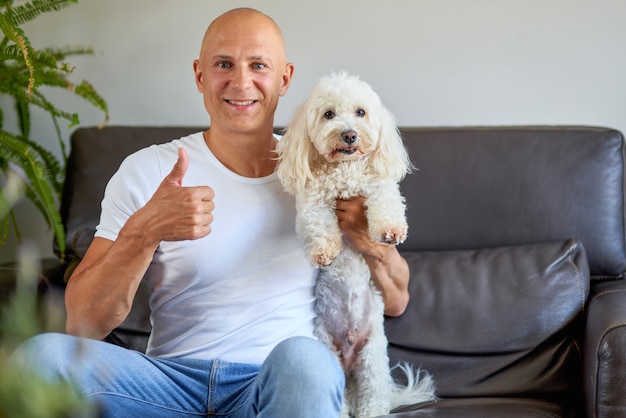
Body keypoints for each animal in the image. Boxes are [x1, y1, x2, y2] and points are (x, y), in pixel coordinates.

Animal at [276, 73, 432, 416]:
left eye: (361, 112)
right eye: (328, 114)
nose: (349, 135)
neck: (345, 171)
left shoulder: (380, 186)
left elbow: (387, 202)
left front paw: (390, 231)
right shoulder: (312, 202)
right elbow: (318, 223)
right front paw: (325, 250)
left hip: (371, 359)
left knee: (373, 397)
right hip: (328, 351)